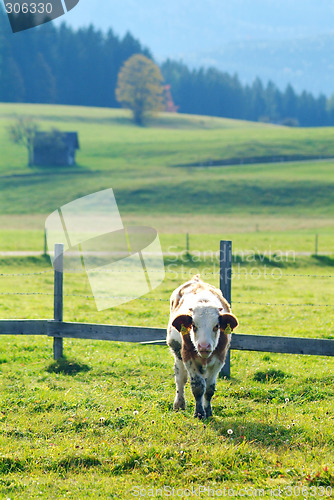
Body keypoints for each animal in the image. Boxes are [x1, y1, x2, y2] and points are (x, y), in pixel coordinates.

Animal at [167, 276, 237, 420]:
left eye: (216, 326)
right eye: (193, 325)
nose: (204, 346)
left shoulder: (219, 359)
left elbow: (209, 388)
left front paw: (208, 411)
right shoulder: (188, 357)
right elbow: (198, 387)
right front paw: (199, 413)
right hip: (177, 353)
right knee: (180, 379)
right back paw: (179, 404)